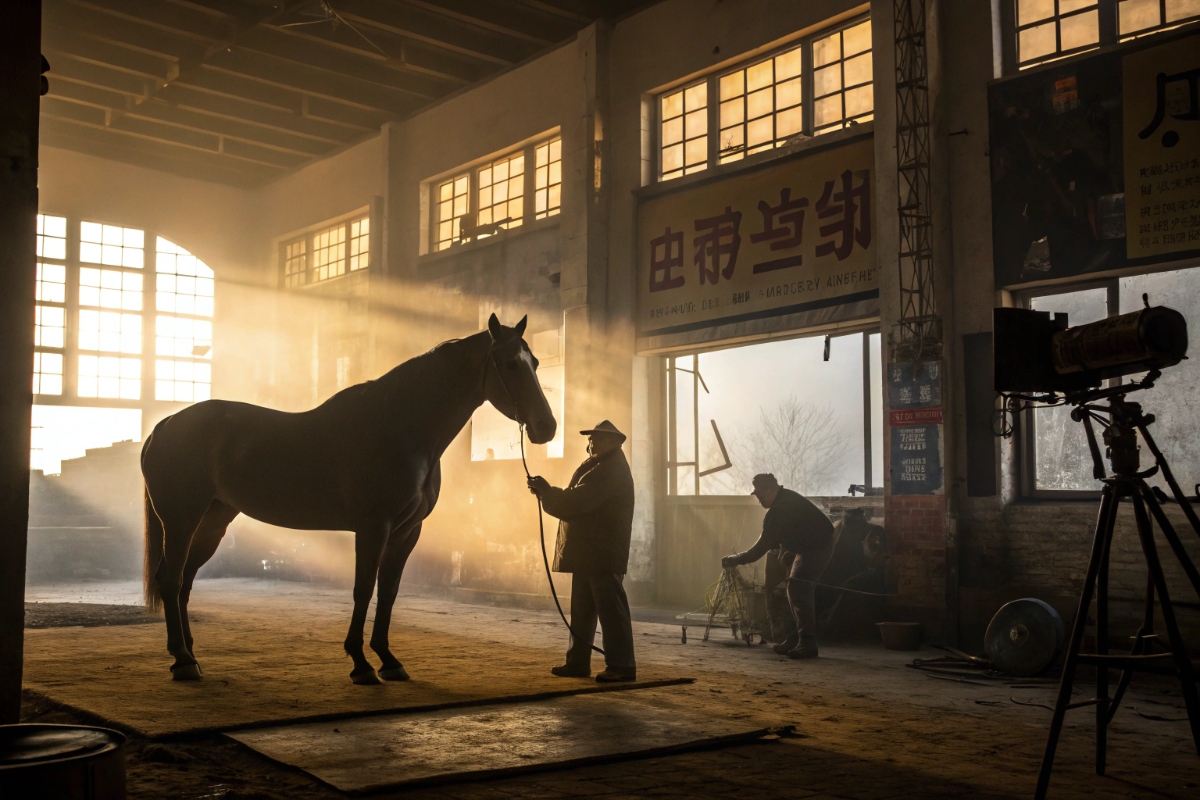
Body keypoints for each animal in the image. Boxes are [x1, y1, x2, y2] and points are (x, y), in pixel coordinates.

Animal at [141, 314, 556, 684]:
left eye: (535, 363)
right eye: (509, 364)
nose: (547, 427)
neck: (400, 428)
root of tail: (164, 426)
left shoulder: (407, 532)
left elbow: (388, 593)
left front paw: (389, 660)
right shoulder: (373, 528)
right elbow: (363, 589)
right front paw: (360, 664)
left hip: (212, 521)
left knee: (185, 580)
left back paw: (190, 655)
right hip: (180, 520)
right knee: (171, 579)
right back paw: (183, 662)